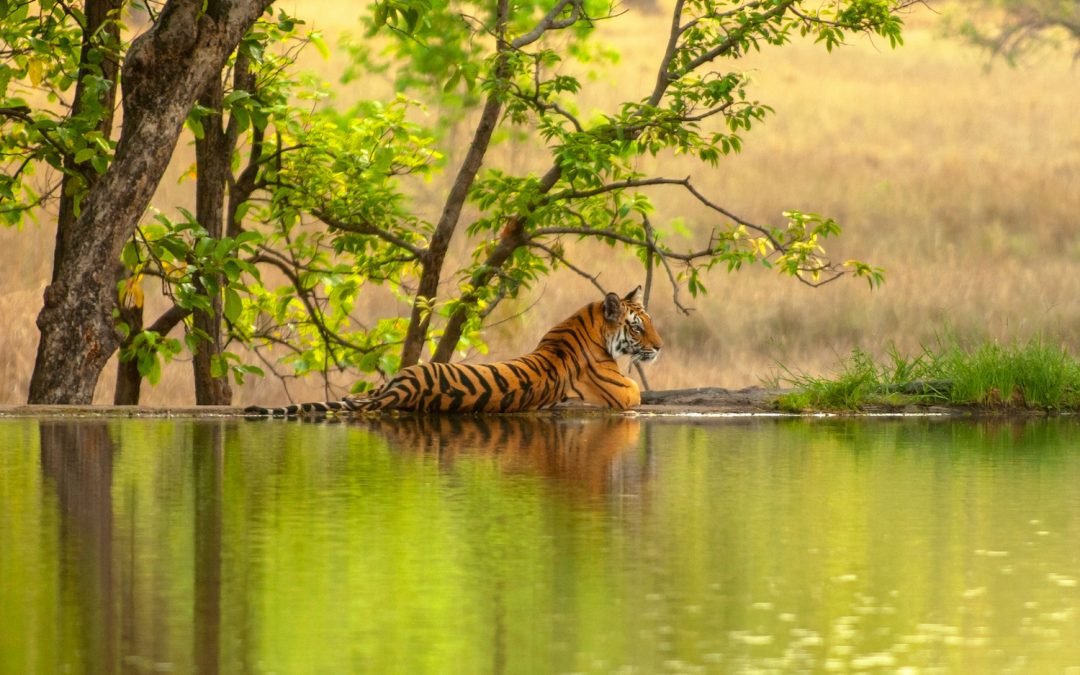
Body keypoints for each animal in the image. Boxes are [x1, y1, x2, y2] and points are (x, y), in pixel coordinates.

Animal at [244, 286, 662, 416]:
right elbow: (639, 391)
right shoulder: (625, 392)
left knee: (353, 398)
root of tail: (404, 389)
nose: (659, 347)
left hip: (388, 382)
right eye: (638, 326)